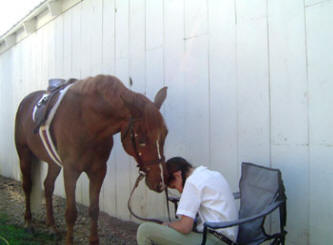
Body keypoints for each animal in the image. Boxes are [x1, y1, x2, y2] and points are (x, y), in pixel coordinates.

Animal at [14, 74, 167, 245]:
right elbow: (71, 213)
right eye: (142, 140)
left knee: (48, 186)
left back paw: (52, 227)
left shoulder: (98, 171)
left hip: (54, 163)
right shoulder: (70, 171)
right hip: (24, 154)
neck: (86, 122)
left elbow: (94, 210)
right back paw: (28, 224)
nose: (160, 182)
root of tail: (25, 100)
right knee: (27, 186)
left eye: (165, 134)